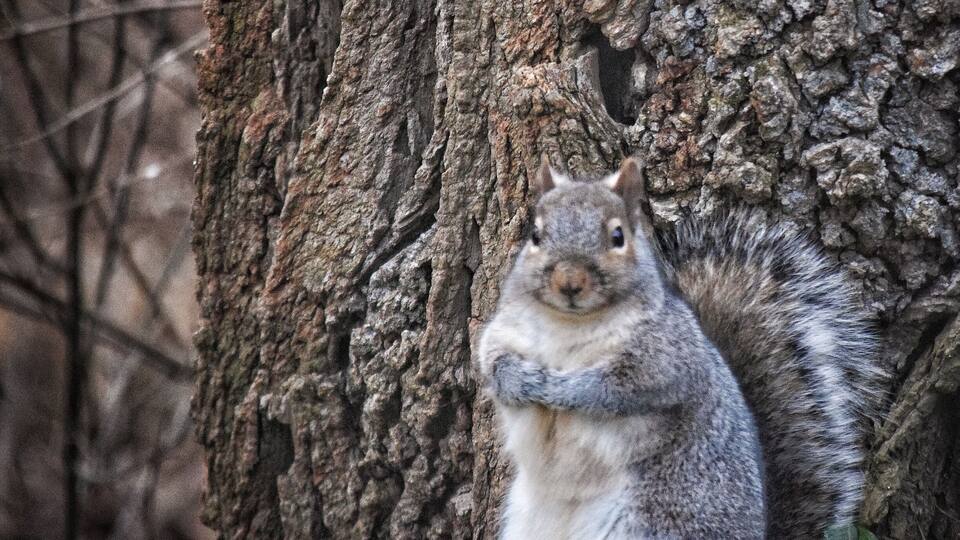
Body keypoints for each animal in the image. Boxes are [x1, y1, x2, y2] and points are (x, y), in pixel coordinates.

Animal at [476, 157, 879, 539]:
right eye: (536, 234)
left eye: (618, 236)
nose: (569, 282)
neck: (569, 324)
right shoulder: (502, 332)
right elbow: (492, 364)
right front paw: (521, 381)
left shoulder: (667, 355)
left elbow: (617, 388)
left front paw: (562, 389)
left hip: (653, 523)